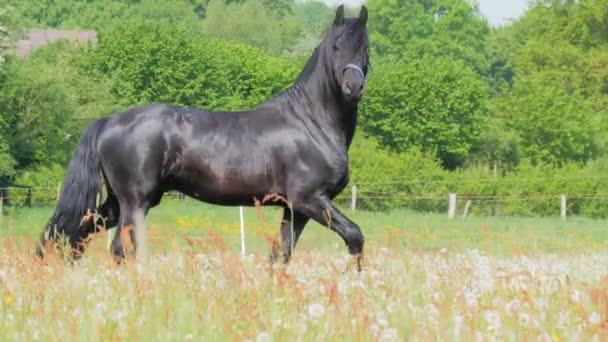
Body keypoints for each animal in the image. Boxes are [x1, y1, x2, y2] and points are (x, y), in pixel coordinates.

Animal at [40, 4, 370, 268]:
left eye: (365, 47)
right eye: (337, 45)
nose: (353, 86)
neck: (311, 121)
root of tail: (109, 121)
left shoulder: (295, 208)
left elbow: (281, 255)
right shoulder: (310, 200)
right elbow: (355, 236)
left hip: (119, 202)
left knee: (81, 231)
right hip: (135, 203)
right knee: (121, 248)